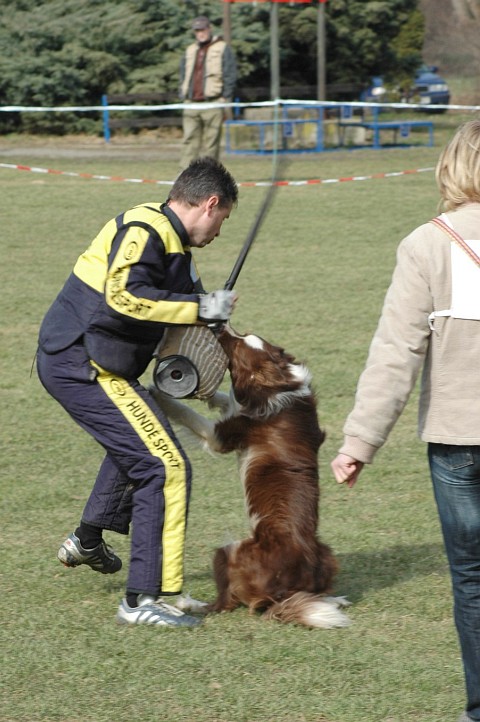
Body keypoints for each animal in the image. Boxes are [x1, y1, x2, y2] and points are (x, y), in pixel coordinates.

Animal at [152, 324, 350, 628]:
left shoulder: (220, 436)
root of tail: (283, 594)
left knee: (222, 605)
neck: (280, 379)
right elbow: (227, 399)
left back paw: (187, 604)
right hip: (326, 557)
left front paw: (157, 392)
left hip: (227, 551)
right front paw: (212, 397)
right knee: (321, 593)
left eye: (235, 347)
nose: (219, 326)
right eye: (242, 334)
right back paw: (334, 600)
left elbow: (186, 412)